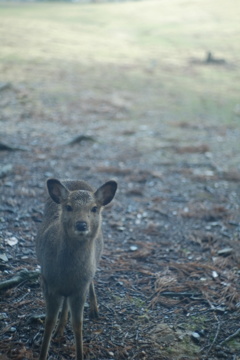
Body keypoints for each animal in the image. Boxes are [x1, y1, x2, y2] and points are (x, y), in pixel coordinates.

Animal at [35, 179, 117, 358]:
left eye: (94, 208)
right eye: (68, 207)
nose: (81, 225)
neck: (67, 274)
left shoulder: (80, 290)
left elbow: (78, 324)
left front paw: (80, 354)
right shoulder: (48, 285)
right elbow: (49, 322)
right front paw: (43, 353)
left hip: (94, 264)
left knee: (91, 280)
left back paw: (94, 310)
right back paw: (59, 330)